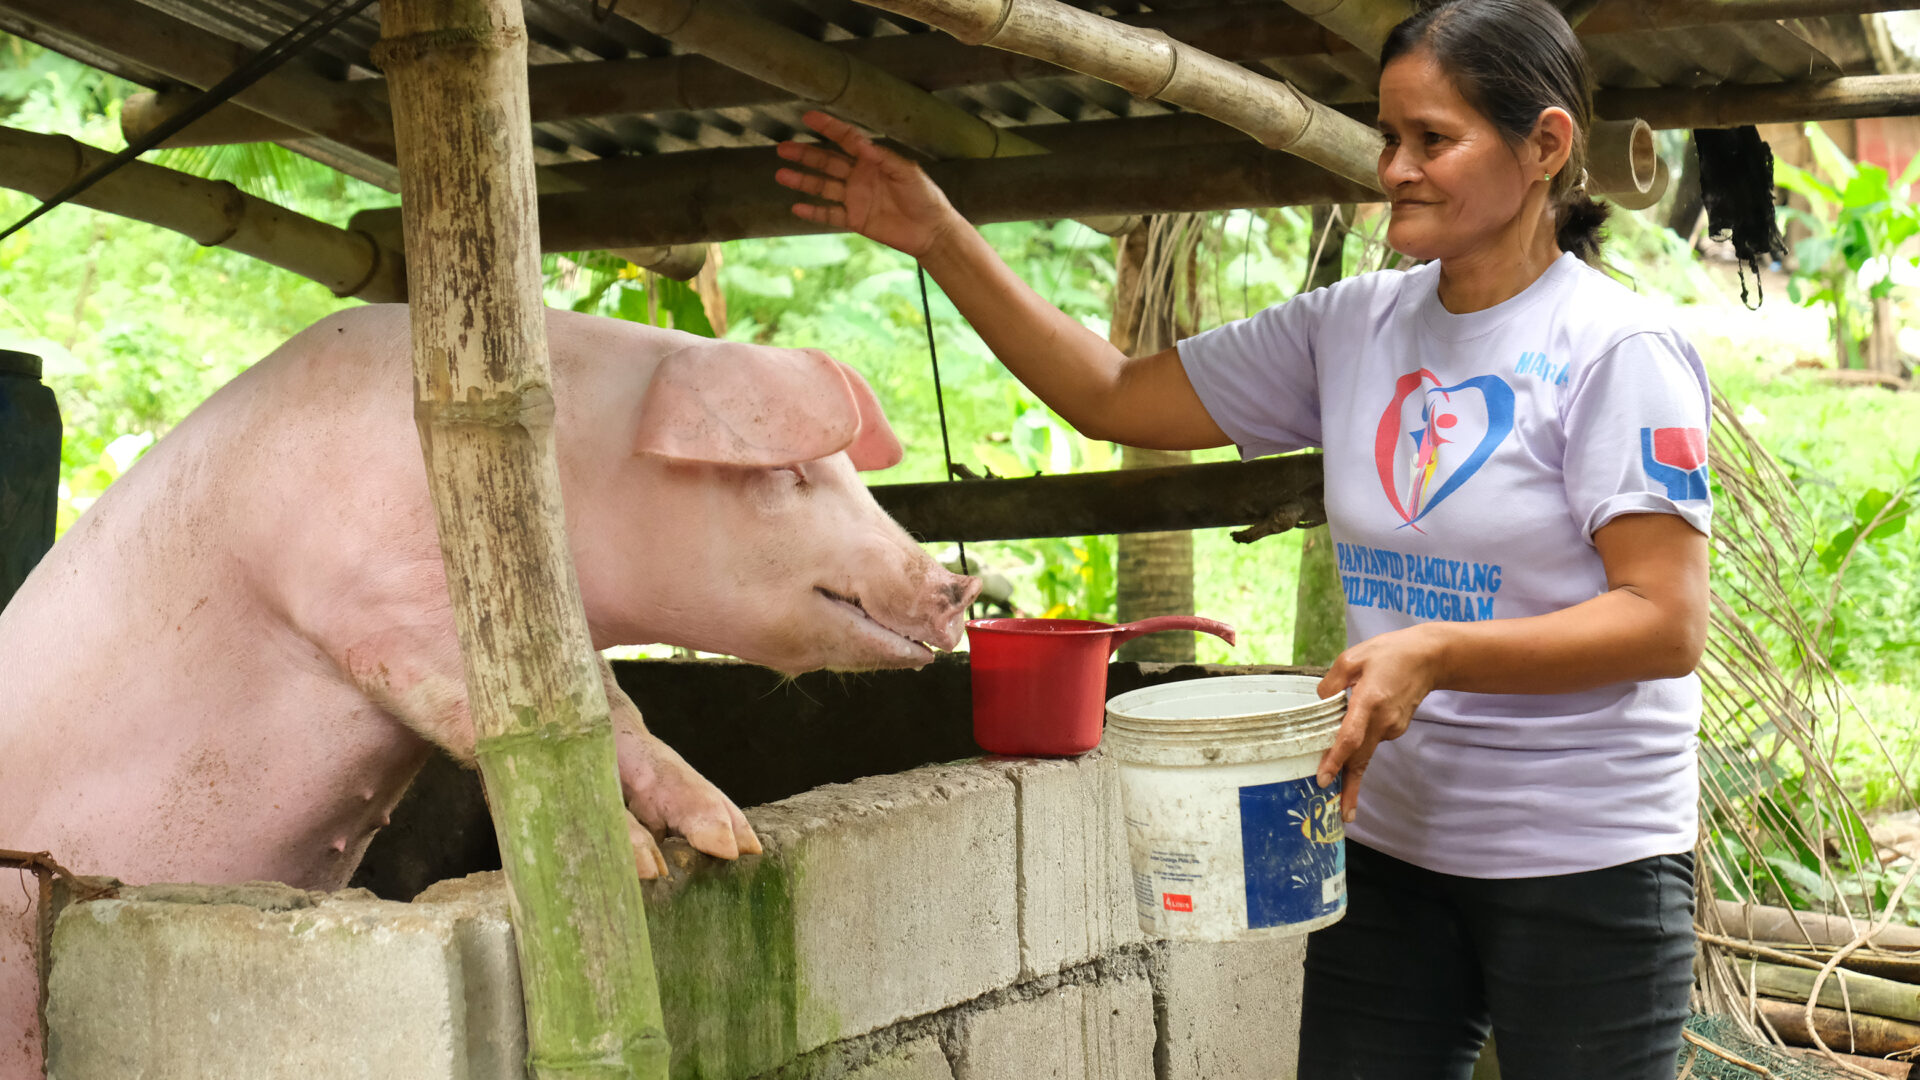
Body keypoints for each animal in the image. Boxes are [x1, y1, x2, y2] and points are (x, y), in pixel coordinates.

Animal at [0, 299, 983, 1068]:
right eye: (791, 474)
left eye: (854, 474)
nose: (958, 587)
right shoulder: (374, 605)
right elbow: (471, 706)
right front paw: (641, 859)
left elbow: (615, 711)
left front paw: (730, 837)